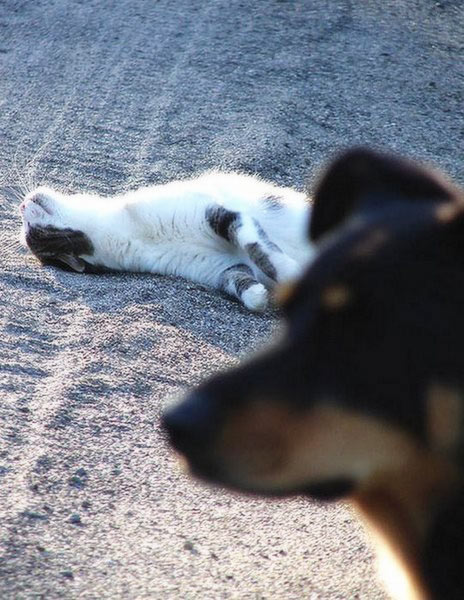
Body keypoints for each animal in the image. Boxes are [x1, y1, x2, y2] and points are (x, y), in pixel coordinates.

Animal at [20, 171, 314, 312]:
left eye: (28, 226)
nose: (21, 206)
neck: (127, 234)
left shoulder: (219, 214)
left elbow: (259, 250)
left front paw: (290, 274)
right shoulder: (223, 268)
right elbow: (243, 283)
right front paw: (260, 297)